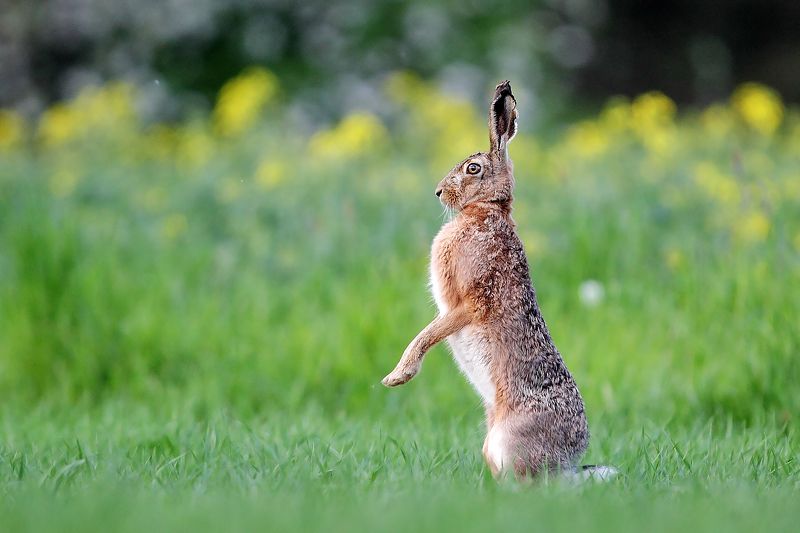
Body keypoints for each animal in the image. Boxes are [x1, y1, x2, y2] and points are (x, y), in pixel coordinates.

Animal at [382, 81, 616, 481]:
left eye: (473, 168)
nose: (438, 192)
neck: (487, 210)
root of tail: (567, 462)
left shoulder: (472, 299)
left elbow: (429, 332)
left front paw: (398, 376)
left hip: (508, 440)